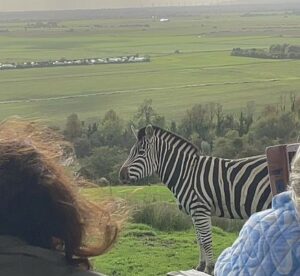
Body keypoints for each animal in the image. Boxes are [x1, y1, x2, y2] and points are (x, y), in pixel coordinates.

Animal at [119, 124, 272, 274]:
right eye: (132, 151)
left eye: (141, 152)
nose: (121, 175)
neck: (187, 173)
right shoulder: (194, 212)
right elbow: (199, 240)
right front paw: (200, 266)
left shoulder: (200, 209)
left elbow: (206, 240)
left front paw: (209, 268)